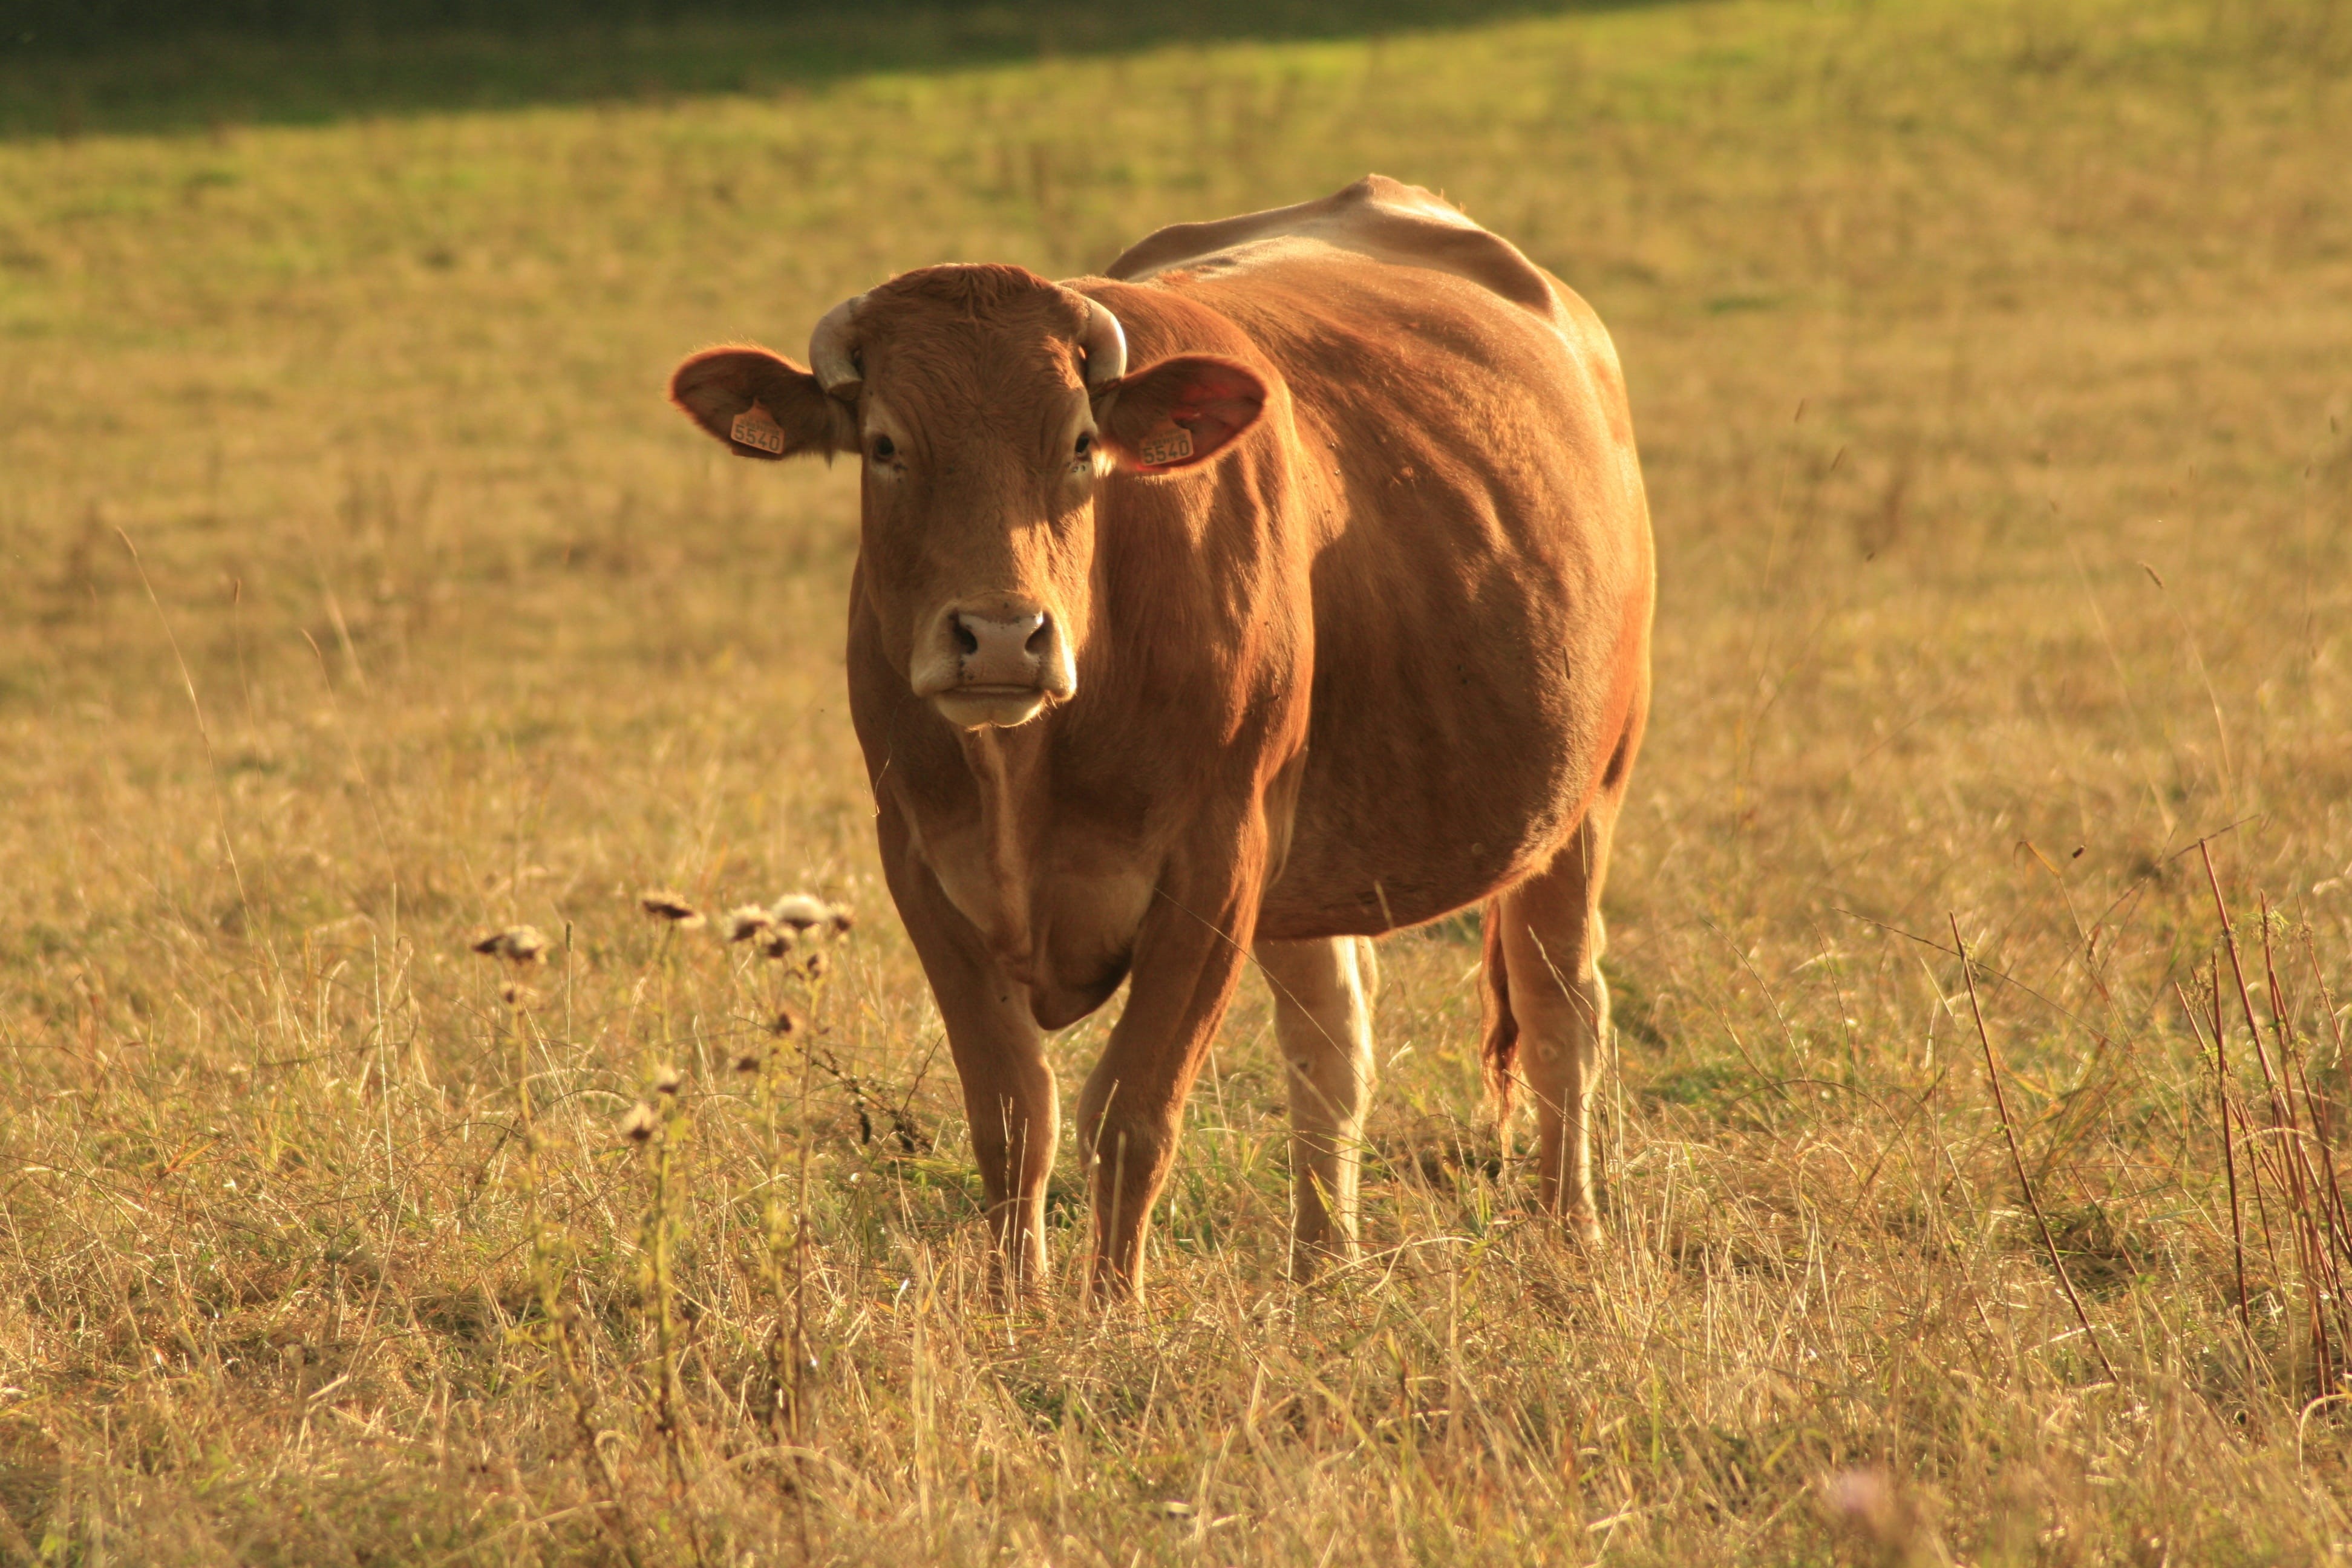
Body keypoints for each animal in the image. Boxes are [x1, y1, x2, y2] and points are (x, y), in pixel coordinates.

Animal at [669, 176, 1653, 1298]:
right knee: (1333, 1041)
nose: (999, 635)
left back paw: (1570, 1235)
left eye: (1079, 445)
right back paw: (1322, 1266)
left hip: (1583, 797)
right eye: (883, 445)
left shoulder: (1214, 866)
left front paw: (1110, 1310)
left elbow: (1132, 1115)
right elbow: (1012, 1115)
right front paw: (1018, 1306)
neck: (1027, 766)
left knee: (1560, 1009)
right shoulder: (920, 864)